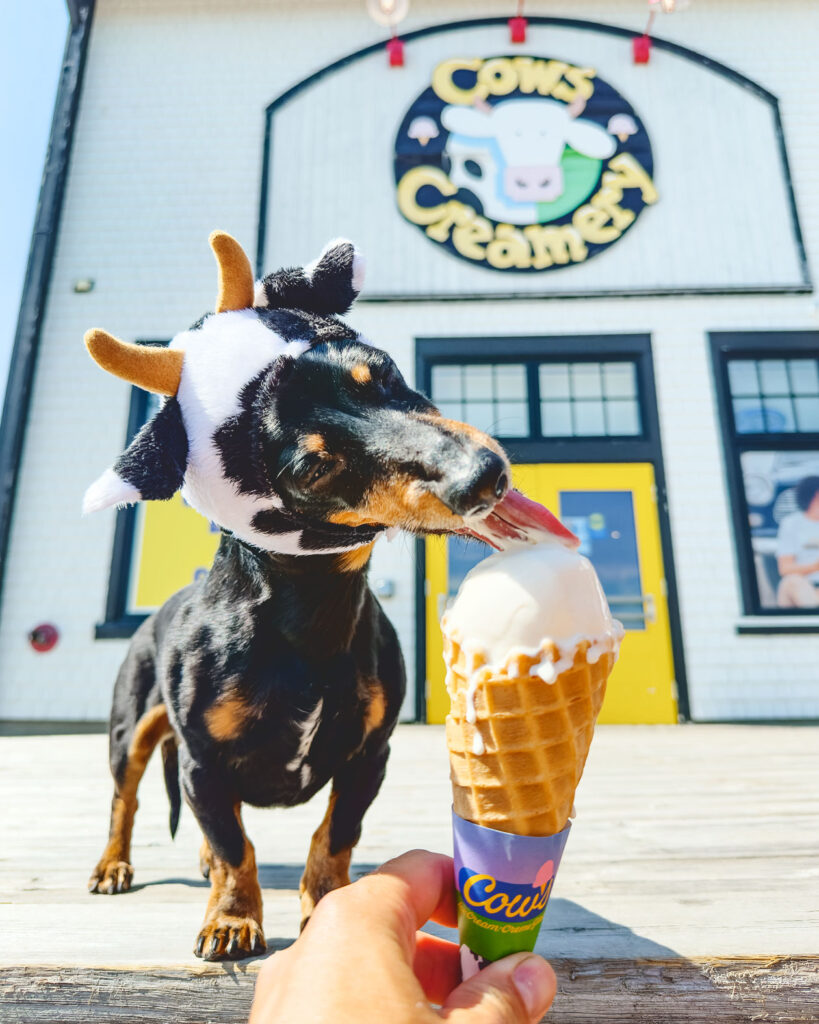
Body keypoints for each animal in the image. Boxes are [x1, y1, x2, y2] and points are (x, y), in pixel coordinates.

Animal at [84, 232, 569, 958]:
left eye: (384, 373)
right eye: (314, 465)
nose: (483, 477)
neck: (310, 611)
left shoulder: (370, 756)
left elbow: (334, 834)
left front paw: (329, 904)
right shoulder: (202, 762)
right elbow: (236, 846)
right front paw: (233, 917)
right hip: (130, 730)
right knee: (128, 799)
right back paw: (113, 863)